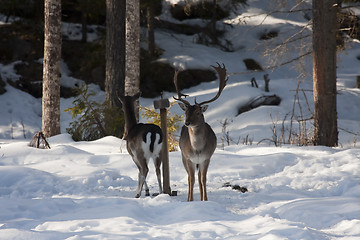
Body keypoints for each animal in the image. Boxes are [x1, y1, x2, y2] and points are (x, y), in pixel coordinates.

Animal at [172, 62, 228, 201]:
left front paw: (205, 200)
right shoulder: (188, 158)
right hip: (183, 157)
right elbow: (191, 179)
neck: (197, 149)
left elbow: (203, 179)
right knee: (189, 177)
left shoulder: (206, 158)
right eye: (186, 112)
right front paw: (190, 200)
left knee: (198, 177)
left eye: (198, 112)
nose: (187, 123)